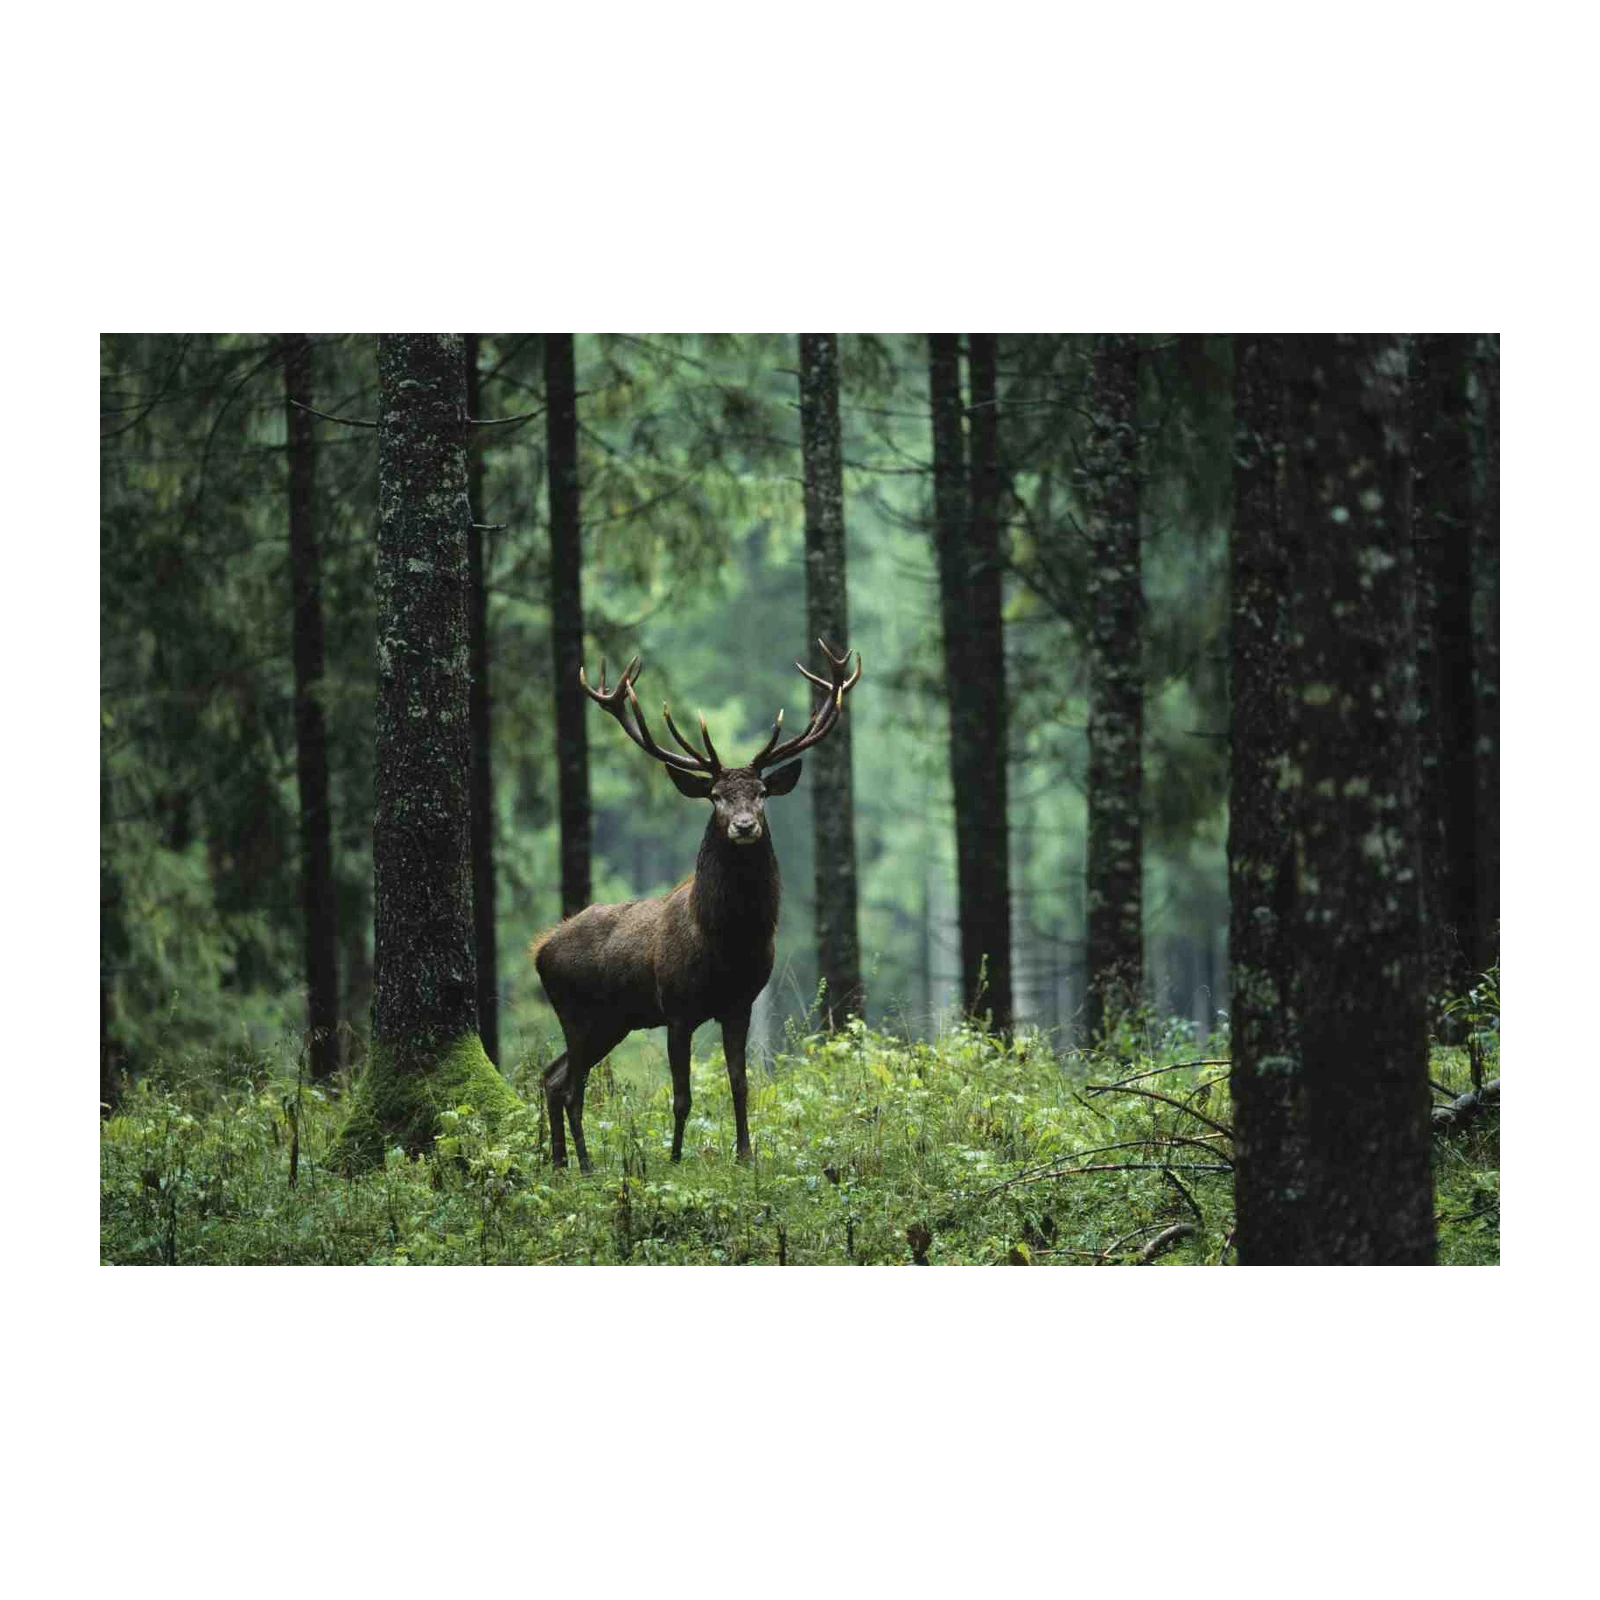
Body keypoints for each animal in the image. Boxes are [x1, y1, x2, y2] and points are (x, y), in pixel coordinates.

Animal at [532, 639, 861, 1173]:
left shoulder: (740, 1004)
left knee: (553, 1077)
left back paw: (562, 1164)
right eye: (715, 795)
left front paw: (745, 1155)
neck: (725, 942)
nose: (745, 826)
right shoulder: (678, 1008)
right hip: (576, 1012)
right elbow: (681, 1096)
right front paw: (673, 1159)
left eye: (762, 792)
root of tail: (539, 949)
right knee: (571, 1087)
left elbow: (740, 1084)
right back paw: (583, 1165)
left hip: (612, 1020)